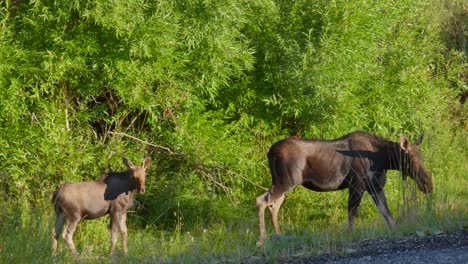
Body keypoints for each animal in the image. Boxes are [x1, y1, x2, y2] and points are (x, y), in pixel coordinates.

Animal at [258, 131, 434, 244]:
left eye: (422, 157)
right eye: (410, 158)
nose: (428, 184)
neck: (384, 160)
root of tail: (269, 152)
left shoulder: (375, 187)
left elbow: (388, 215)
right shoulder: (357, 185)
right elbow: (351, 214)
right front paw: (351, 236)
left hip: (282, 183)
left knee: (273, 205)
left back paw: (278, 235)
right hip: (286, 181)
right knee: (262, 200)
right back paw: (263, 239)